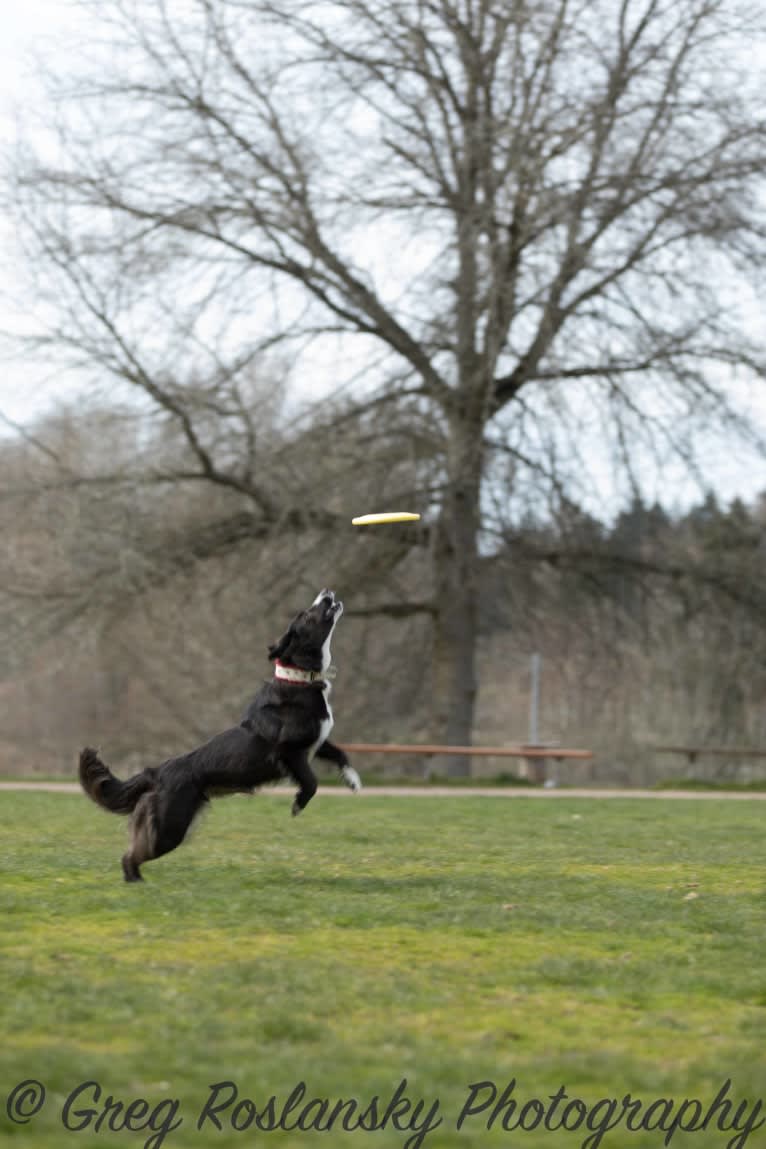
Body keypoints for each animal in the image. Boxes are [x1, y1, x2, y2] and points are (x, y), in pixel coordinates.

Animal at [79, 588, 360, 882]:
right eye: (306, 615)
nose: (327, 592)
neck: (300, 679)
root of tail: (156, 772)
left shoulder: (317, 741)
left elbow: (339, 752)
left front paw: (352, 779)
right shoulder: (288, 751)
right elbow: (311, 781)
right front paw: (298, 804)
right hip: (170, 825)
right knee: (132, 854)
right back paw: (136, 882)